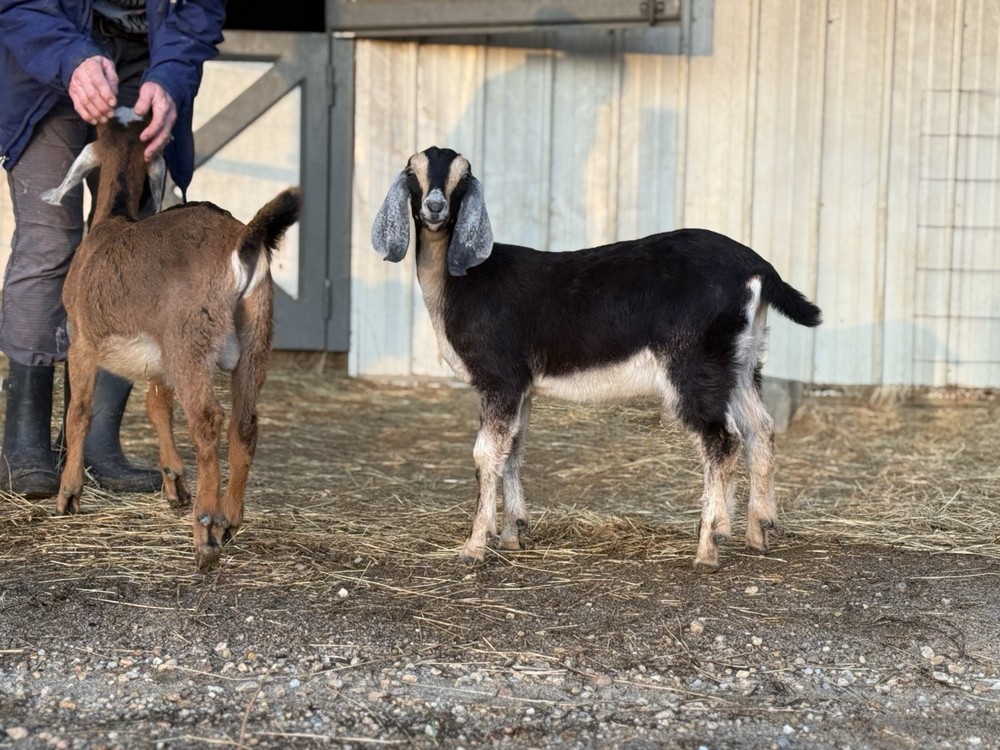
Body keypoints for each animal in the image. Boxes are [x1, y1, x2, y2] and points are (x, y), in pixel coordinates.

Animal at [41, 107, 300, 571]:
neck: (109, 223)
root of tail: (243, 243)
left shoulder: (82, 340)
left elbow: (80, 411)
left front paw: (68, 495)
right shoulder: (158, 357)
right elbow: (157, 406)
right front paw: (174, 484)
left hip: (190, 340)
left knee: (207, 420)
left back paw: (206, 532)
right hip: (255, 335)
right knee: (244, 423)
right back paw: (231, 520)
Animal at [372, 146, 822, 571]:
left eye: (463, 177)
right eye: (413, 172)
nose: (435, 207)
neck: (464, 281)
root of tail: (757, 268)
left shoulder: (500, 380)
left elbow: (485, 454)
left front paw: (474, 547)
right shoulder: (522, 388)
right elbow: (513, 447)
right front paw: (514, 533)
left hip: (695, 365)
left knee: (723, 440)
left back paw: (709, 545)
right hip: (740, 362)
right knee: (760, 429)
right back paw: (758, 531)